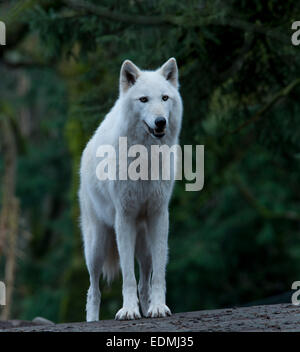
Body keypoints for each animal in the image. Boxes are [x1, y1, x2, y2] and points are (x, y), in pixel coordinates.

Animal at [79, 57, 183, 322]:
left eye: (164, 98)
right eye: (143, 99)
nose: (160, 121)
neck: (145, 159)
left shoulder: (158, 216)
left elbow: (158, 275)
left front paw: (158, 308)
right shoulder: (124, 218)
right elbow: (127, 275)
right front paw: (128, 311)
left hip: (144, 244)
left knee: (144, 281)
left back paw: (147, 308)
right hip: (96, 246)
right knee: (93, 289)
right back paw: (93, 320)